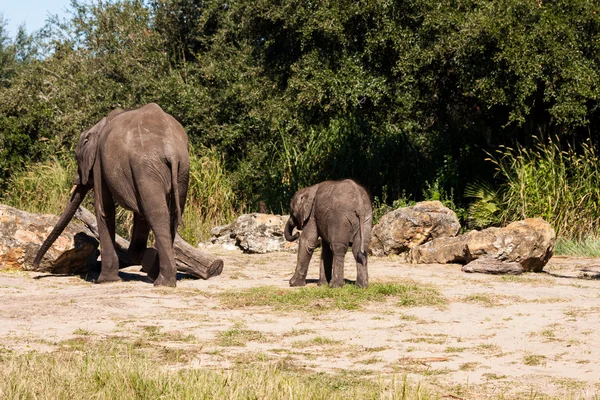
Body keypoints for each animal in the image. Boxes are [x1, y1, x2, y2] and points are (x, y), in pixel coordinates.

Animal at [32, 101, 190, 286]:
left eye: (77, 158)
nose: (34, 267)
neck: (97, 125)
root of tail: (171, 149)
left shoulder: (99, 162)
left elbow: (104, 208)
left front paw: (105, 280)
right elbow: (139, 214)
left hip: (148, 167)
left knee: (156, 214)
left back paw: (162, 281)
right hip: (181, 170)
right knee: (170, 216)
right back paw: (159, 276)